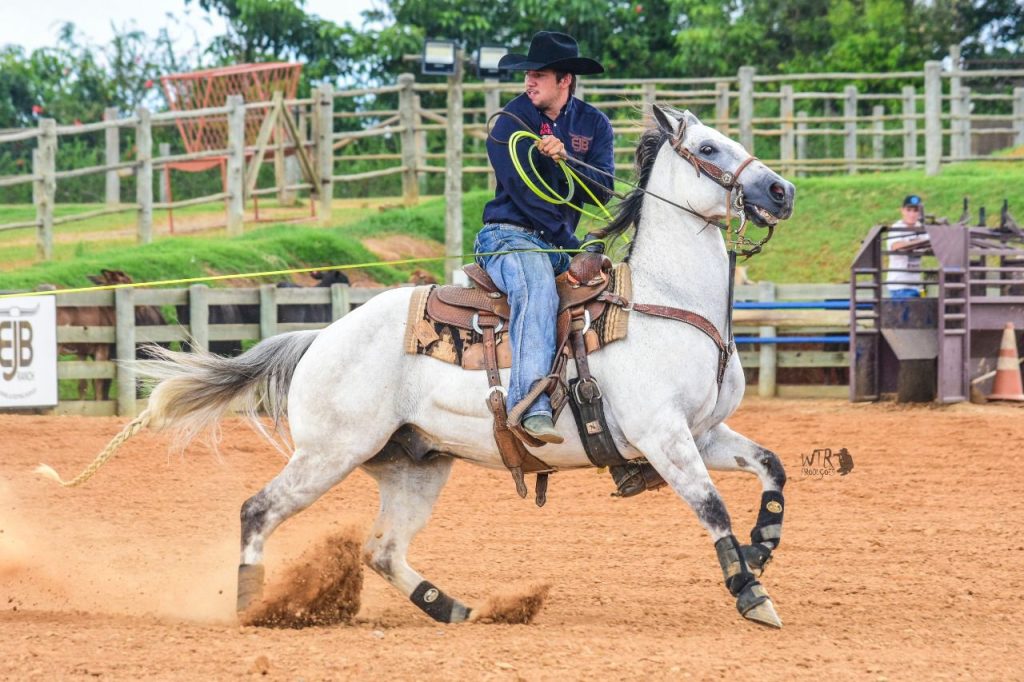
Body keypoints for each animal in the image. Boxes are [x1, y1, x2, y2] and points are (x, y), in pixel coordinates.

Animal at [44, 106, 794, 626]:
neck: (664, 302)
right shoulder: (663, 435)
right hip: (330, 453)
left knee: (380, 550)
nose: (781, 191)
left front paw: (763, 545)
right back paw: (254, 604)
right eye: (708, 148)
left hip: (415, 465)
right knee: (260, 509)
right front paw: (752, 592)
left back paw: (455, 608)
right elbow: (711, 507)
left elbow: (771, 467)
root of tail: (320, 338)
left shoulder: (702, 433)